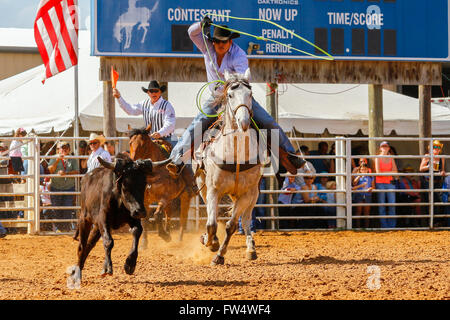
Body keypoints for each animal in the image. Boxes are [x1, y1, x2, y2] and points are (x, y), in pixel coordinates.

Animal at [193, 69, 264, 264]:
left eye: (250, 94)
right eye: (230, 95)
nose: (244, 122)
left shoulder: (246, 194)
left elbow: (231, 225)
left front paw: (219, 255)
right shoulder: (213, 190)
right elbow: (211, 224)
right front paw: (210, 242)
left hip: (252, 194)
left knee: (246, 219)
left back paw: (251, 249)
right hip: (203, 185)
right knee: (212, 215)